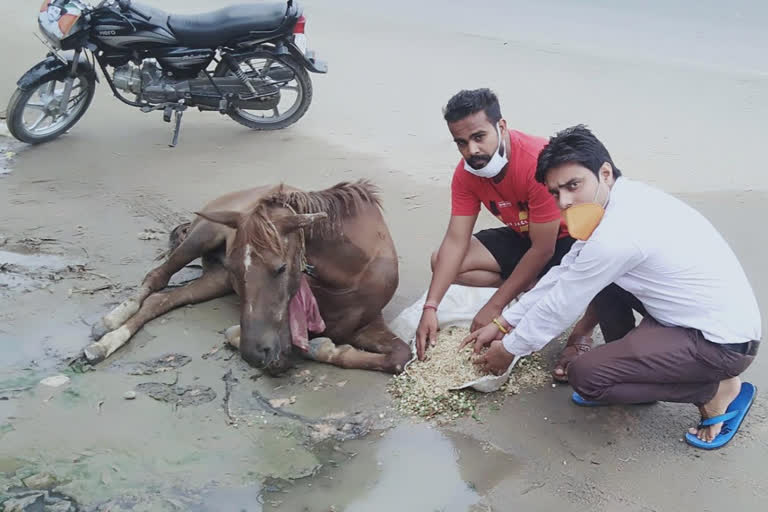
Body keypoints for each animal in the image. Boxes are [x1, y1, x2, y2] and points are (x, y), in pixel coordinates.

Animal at [81, 182, 412, 374]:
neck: (352, 274)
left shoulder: (366, 325)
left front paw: (325, 348)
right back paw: (108, 325)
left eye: (280, 268)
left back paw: (105, 342)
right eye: (238, 268)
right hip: (201, 237)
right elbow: (289, 352)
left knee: (162, 299)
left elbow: (400, 356)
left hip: (215, 280)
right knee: (157, 278)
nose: (254, 354)